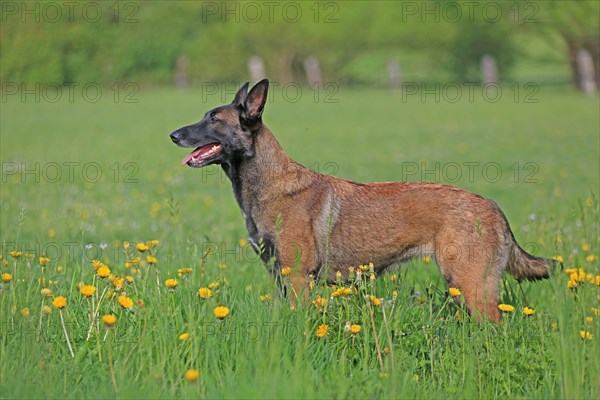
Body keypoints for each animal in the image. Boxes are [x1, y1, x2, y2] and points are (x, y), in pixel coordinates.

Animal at [169, 79, 552, 320]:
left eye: (214, 120)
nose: (173, 134)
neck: (267, 183)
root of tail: (493, 207)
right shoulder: (280, 278)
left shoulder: (298, 279)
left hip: (472, 286)